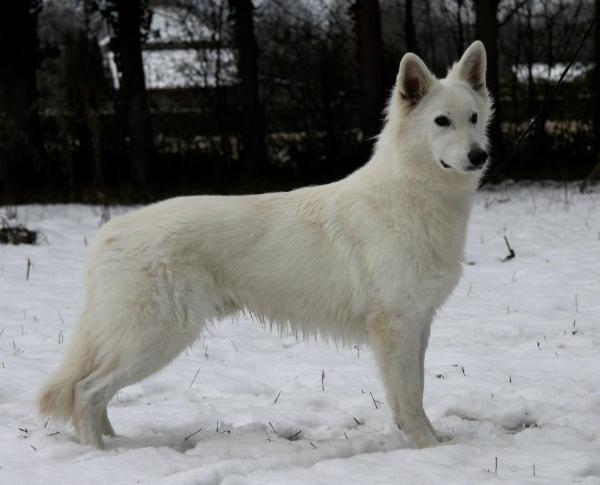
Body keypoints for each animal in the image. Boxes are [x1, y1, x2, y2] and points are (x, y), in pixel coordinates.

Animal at [38, 42, 492, 450]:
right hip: (155, 339)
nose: (480, 155)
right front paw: (426, 447)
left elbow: (412, 394)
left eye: (473, 118)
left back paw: (112, 441)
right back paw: (98, 452)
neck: (413, 196)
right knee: (86, 391)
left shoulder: (417, 324)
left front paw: (431, 438)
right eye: (441, 121)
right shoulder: (397, 326)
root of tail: (108, 234)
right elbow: (410, 397)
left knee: (91, 391)